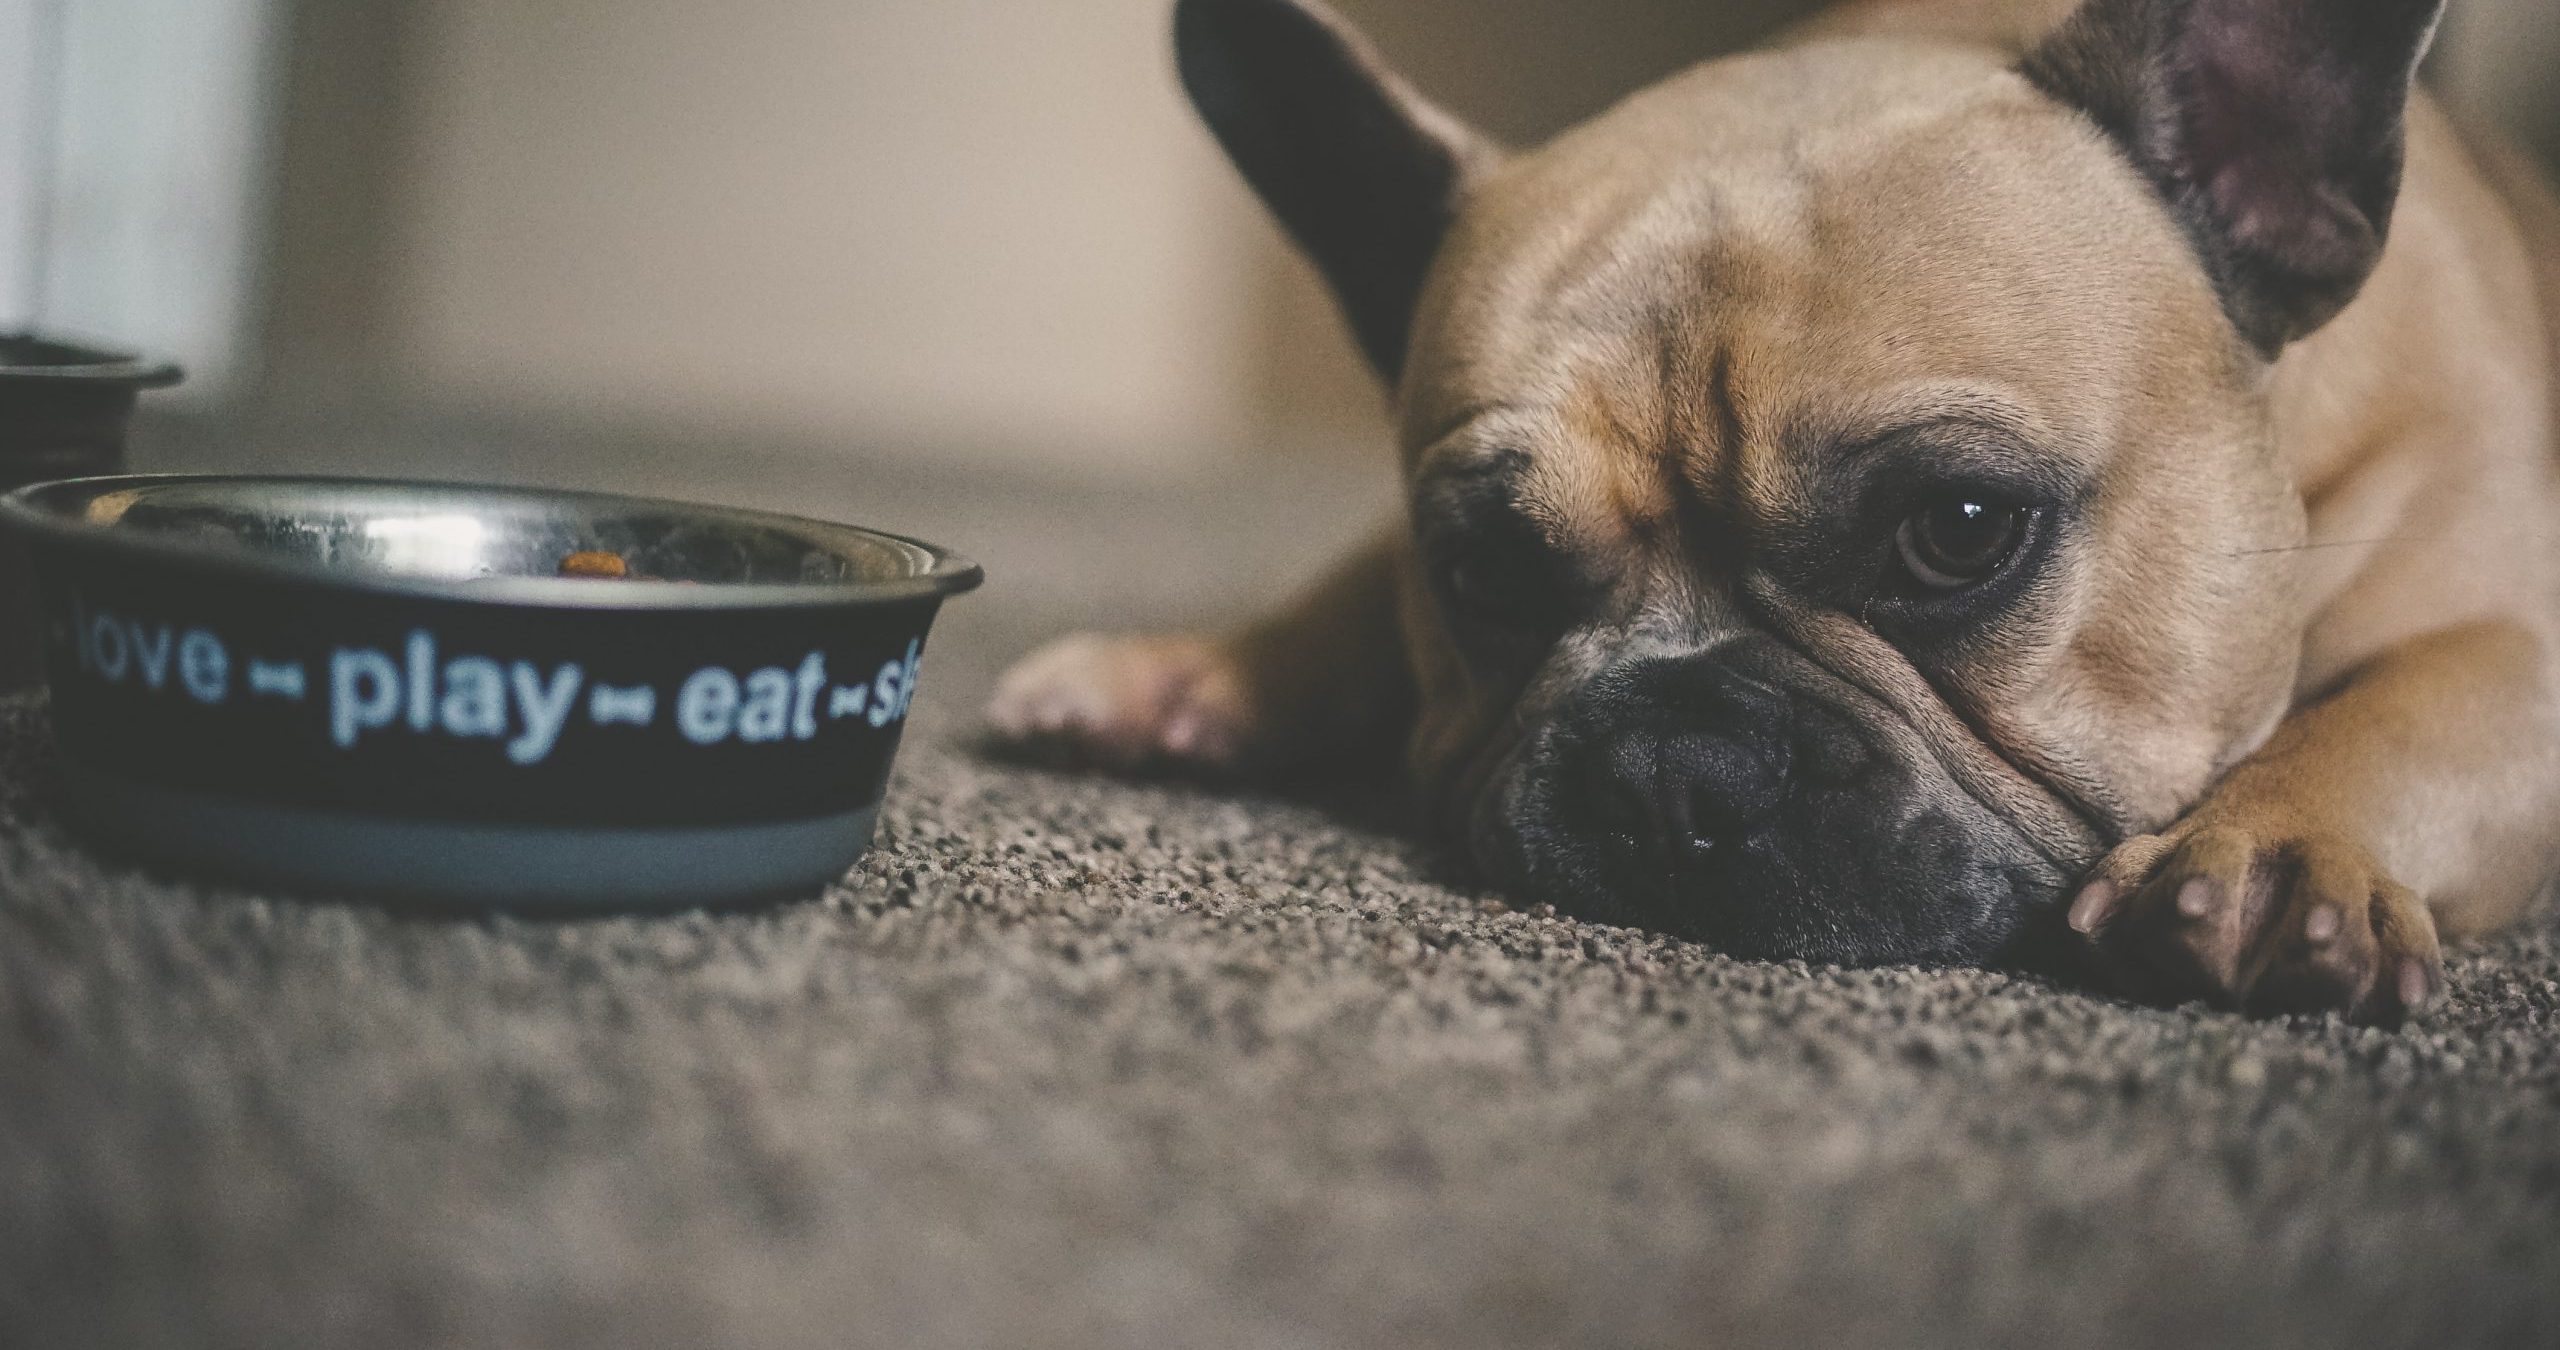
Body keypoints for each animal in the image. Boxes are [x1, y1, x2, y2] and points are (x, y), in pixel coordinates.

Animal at [988, 0, 2560, 1019]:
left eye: (1961, 530)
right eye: (1480, 571)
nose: (1671, 763)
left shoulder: (2523, 654)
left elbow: (2409, 709)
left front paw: (2274, 852)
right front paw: (1197, 671)